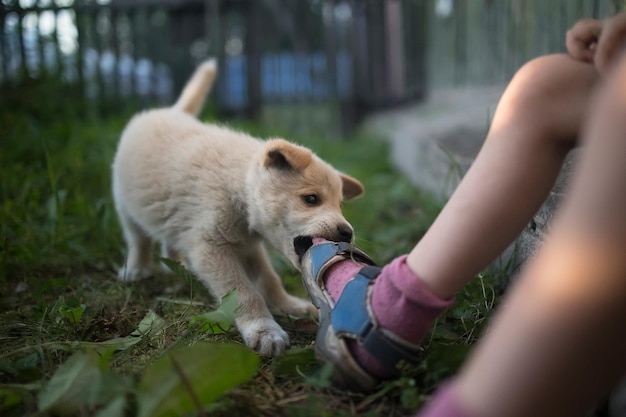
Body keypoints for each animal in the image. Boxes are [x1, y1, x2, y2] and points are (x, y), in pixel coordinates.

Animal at [112, 60, 364, 356]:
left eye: (340, 204)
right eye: (311, 199)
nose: (347, 232)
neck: (238, 187)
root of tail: (172, 111)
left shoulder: (248, 247)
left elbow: (269, 280)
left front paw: (290, 306)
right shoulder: (212, 249)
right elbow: (245, 292)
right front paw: (264, 329)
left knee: (170, 241)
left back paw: (179, 267)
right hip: (125, 206)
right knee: (138, 240)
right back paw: (136, 270)